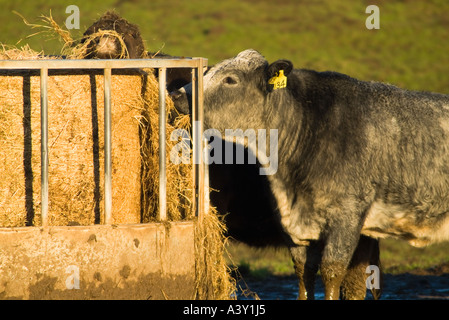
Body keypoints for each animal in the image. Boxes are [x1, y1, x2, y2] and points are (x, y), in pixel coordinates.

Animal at [168, 48, 448, 298]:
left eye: (230, 79)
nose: (177, 94)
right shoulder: (296, 229)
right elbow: (304, 274)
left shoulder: (348, 218)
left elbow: (332, 274)